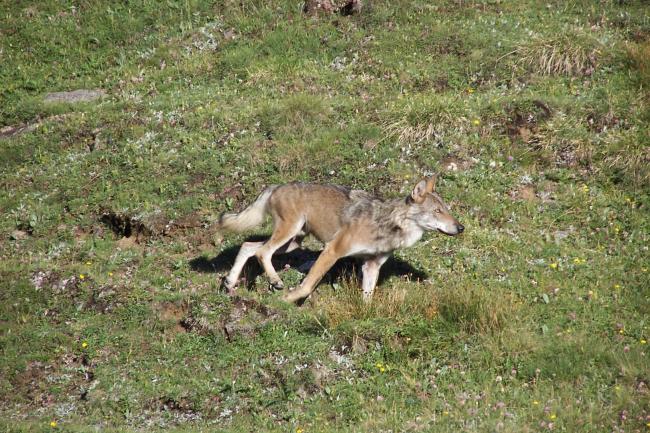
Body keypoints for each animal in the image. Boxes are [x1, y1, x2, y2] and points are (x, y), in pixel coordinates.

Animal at [218, 176, 464, 303]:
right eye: (438, 211)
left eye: (447, 210)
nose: (460, 227)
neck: (388, 225)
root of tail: (277, 185)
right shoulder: (332, 251)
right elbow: (307, 286)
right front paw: (287, 300)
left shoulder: (371, 265)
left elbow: (368, 297)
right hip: (288, 235)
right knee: (261, 252)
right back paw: (276, 282)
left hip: (292, 243)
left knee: (248, 246)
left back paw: (230, 282)